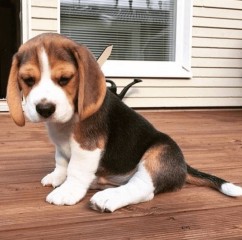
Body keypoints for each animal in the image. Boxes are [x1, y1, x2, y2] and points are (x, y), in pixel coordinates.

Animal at [6, 33, 242, 212]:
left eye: (65, 79)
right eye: (28, 80)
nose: (45, 109)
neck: (66, 123)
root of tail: (184, 165)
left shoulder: (87, 146)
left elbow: (76, 169)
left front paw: (67, 190)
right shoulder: (61, 145)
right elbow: (62, 161)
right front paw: (56, 176)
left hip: (158, 154)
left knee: (144, 189)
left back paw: (108, 198)